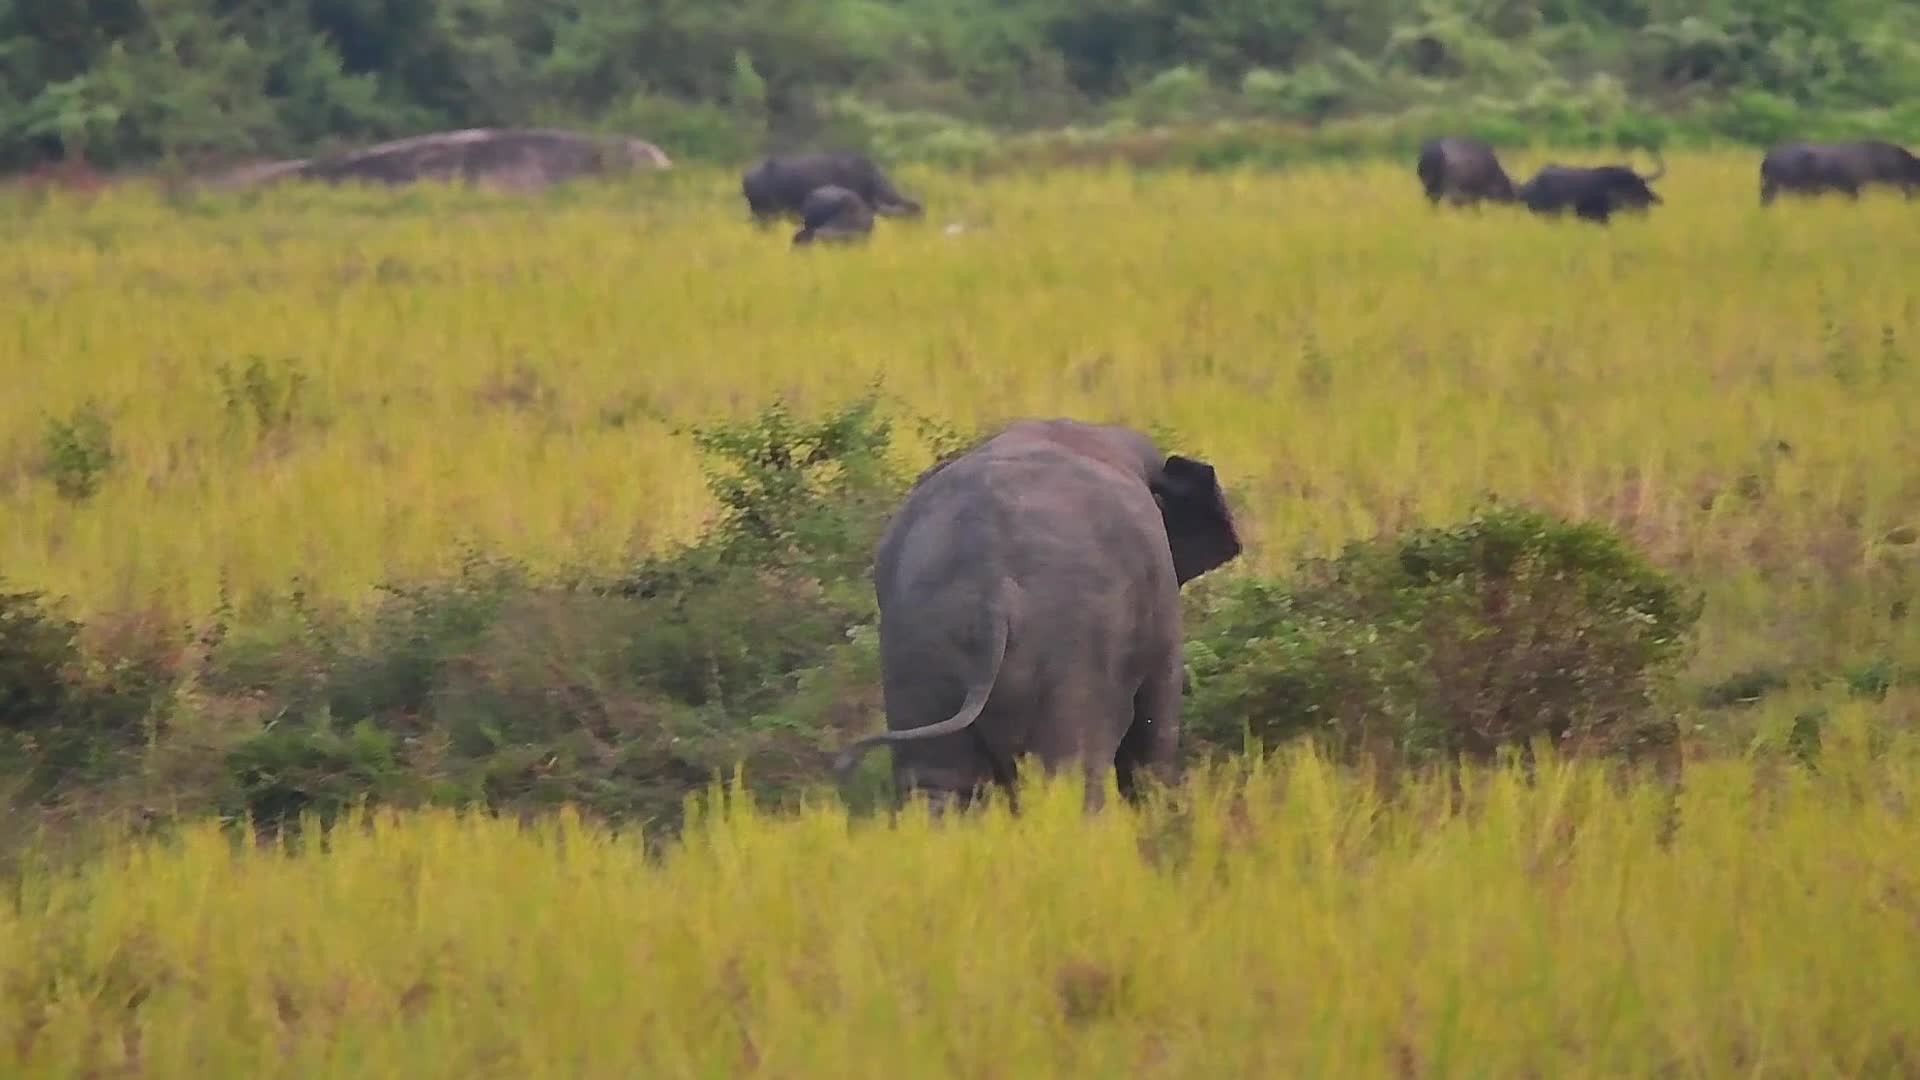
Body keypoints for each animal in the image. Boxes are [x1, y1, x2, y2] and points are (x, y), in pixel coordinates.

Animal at [831, 418, 1243, 812]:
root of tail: (993, 589)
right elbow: (1156, 719)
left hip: (918, 643)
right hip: (1076, 652)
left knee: (936, 782)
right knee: (1070, 771)